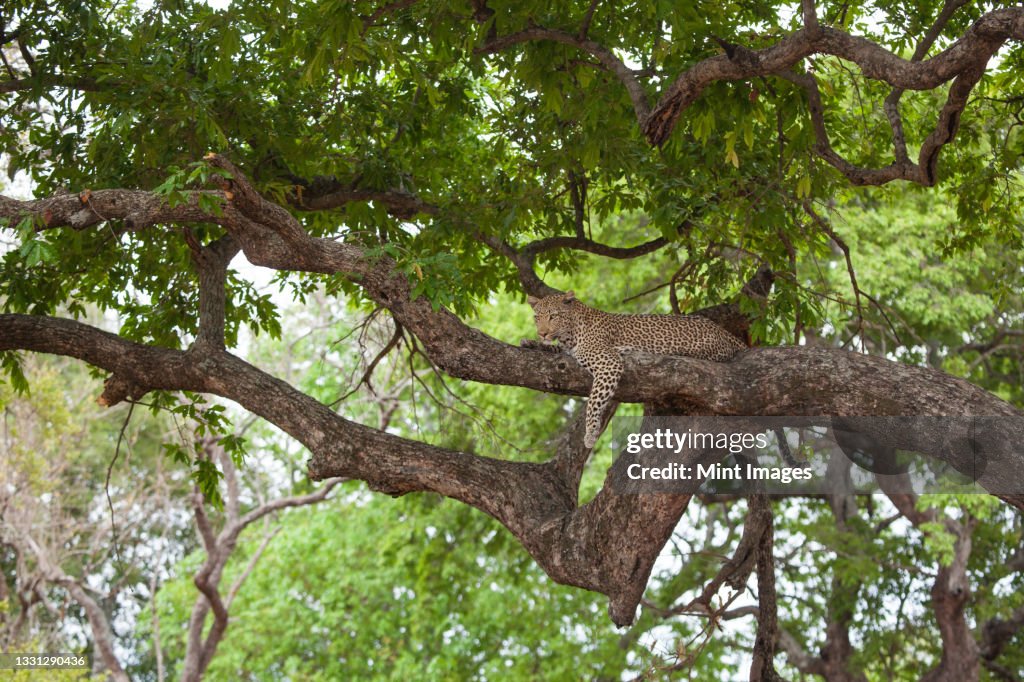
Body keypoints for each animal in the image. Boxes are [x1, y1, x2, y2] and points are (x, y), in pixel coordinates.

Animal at [527, 290, 746, 448]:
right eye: (537, 318)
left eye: (553, 316)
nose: (542, 333)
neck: (570, 334)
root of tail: (722, 331)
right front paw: (531, 343)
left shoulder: (609, 362)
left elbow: (594, 401)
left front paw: (589, 434)